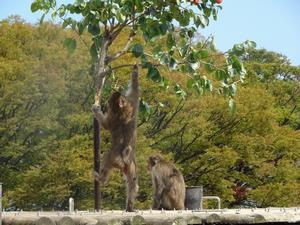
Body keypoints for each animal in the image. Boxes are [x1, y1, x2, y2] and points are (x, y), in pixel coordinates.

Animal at [92, 64, 139, 211]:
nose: (117, 92)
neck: (122, 109)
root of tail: (125, 156)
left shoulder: (114, 117)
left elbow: (105, 125)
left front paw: (96, 109)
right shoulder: (133, 104)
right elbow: (135, 89)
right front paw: (135, 70)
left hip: (114, 158)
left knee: (107, 157)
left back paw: (100, 178)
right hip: (131, 165)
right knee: (133, 183)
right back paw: (130, 205)